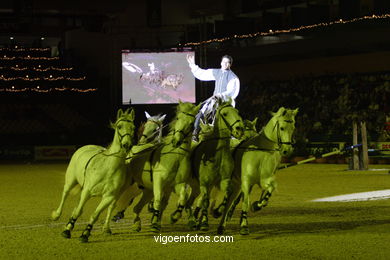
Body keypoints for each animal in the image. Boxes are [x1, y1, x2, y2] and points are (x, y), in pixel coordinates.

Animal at [50, 107, 136, 242]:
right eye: (119, 126)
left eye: (133, 127)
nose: (127, 145)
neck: (109, 167)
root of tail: (86, 146)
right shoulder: (87, 191)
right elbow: (78, 211)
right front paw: (67, 231)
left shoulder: (109, 196)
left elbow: (95, 215)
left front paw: (85, 234)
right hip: (71, 180)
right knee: (65, 194)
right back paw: (57, 215)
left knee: (110, 207)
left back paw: (106, 229)